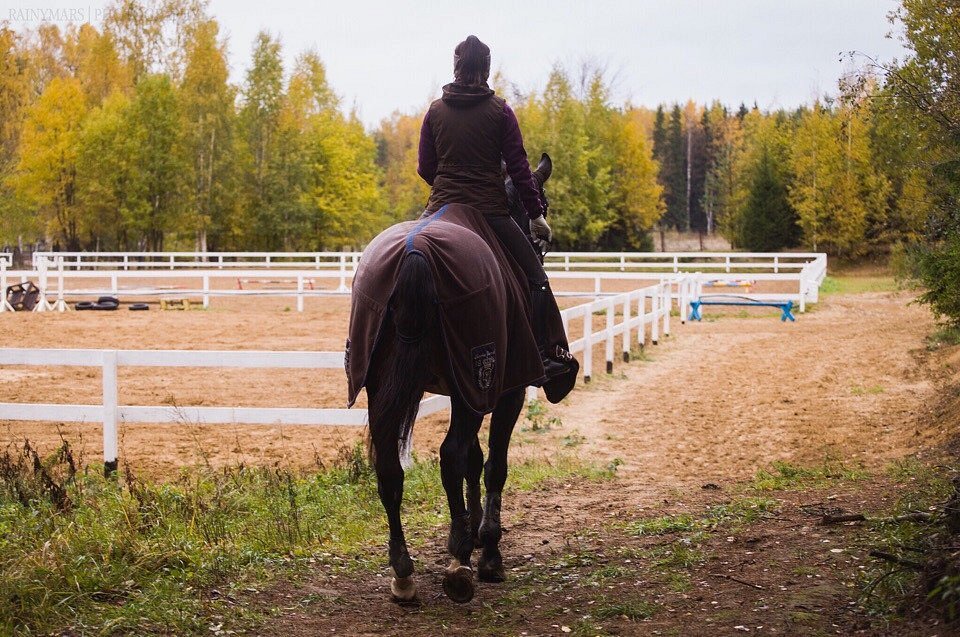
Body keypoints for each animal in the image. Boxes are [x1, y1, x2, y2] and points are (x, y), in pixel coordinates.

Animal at [348, 154, 568, 600]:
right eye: (543, 203)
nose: (541, 241)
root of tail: (415, 254)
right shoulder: (504, 391)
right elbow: (492, 464)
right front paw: (487, 550)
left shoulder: (465, 389)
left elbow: (474, 458)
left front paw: (472, 529)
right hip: (477, 377)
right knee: (449, 455)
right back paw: (459, 562)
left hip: (385, 387)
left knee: (391, 469)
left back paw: (404, 572)